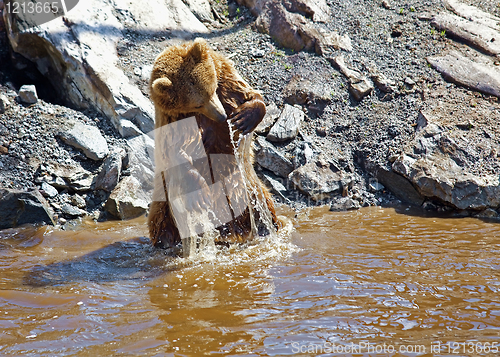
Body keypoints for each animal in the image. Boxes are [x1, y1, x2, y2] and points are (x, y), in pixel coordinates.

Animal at [147, 36, 282, 248]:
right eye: (197, 103)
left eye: (212, 89)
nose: (221, 116)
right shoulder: (172, 121)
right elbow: (177, 151)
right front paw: (200, 193)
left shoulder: (227, 81)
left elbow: (250, 94)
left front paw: (244, 118)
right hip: (166, 199)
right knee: (161, 221)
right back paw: (165, 240)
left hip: (249, 188)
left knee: (264, 206)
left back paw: (267, 227)